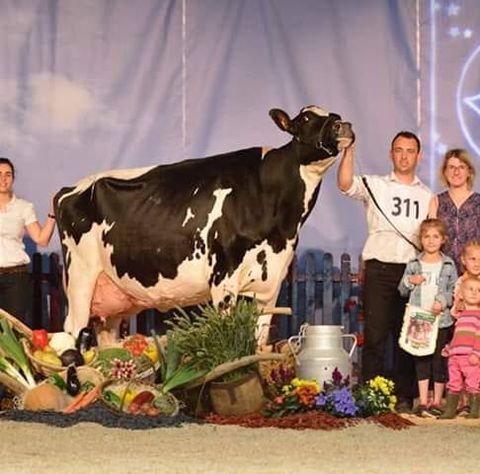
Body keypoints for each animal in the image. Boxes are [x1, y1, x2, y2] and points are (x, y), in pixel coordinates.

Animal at [54, 106, 354, 344]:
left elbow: (258, 344)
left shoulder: (270, 285)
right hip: (80, 276)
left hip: (112, 298)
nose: (343, 125)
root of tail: (71, 188)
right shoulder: (223, 278)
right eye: (305, 118)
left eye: (335, 114)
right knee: (73, 329)